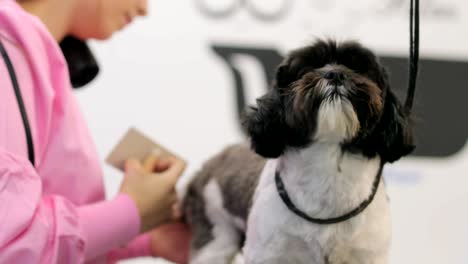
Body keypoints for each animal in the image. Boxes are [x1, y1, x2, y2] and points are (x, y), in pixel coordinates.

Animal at [183, 39, 414, 264]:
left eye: (358, 68)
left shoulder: (368, 253)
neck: (328, 167)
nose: (335, 73)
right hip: (215, 235)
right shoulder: (268, 253)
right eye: (308, 68)